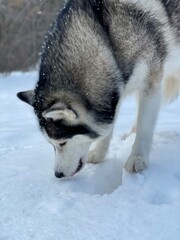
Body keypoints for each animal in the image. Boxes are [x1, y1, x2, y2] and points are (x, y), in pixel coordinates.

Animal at [17, 0, 180, 178]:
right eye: (51, 144)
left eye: (62, 143)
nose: (58, 175)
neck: (108, 40)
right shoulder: (115, 91)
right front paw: (98, 153)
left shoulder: (150, 84)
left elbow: (145, 127)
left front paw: (137, 158)